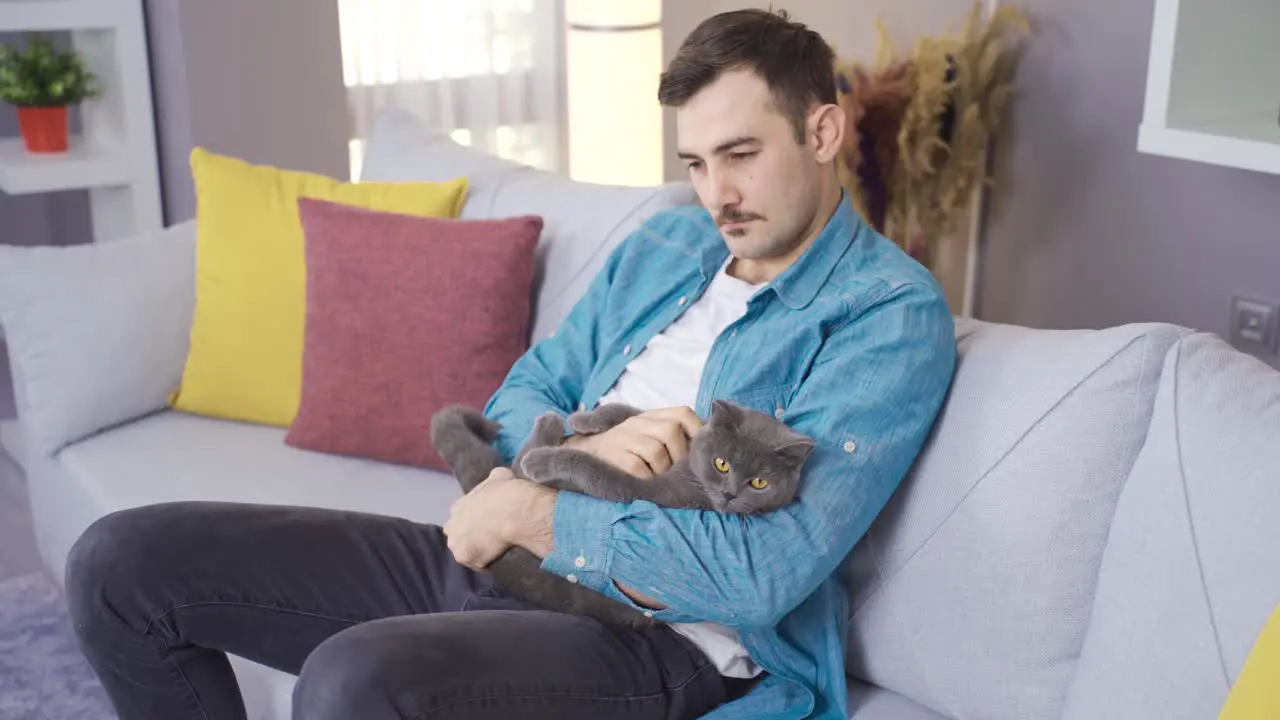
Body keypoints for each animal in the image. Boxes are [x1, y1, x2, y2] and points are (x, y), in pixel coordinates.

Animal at [427, 397, 808, 627]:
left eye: (759, 483)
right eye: (722, 463)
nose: (729, 494)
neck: (691, 468)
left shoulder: (650, 493)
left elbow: (594, 468)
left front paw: (549, 455)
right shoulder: (686, 428)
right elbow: (633, 412)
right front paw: (585, 418)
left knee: (519, 466)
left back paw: (543, 436)